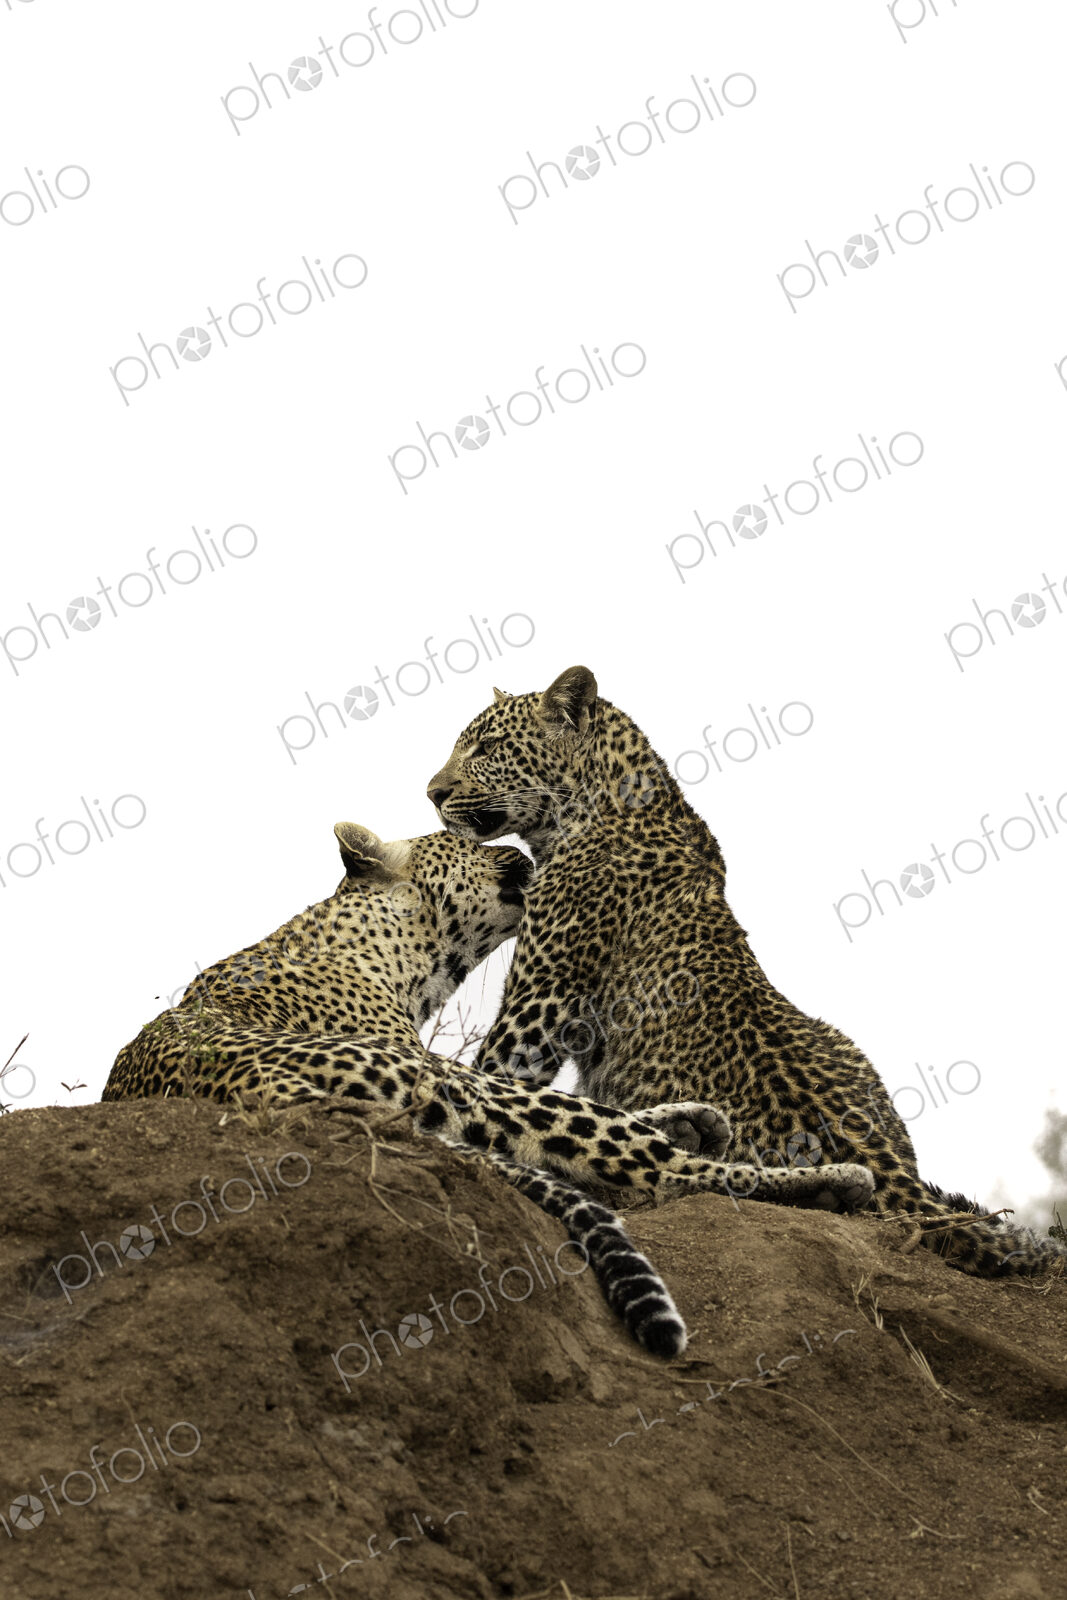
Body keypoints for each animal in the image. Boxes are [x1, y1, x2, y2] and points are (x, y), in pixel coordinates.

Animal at [102, 821, 875, 1356]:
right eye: (461, 840)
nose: (520, 849)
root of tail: (259, 1085)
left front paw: (692, 1114)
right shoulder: (452, 1070)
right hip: (446, 1085)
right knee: (662, 1173)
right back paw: (831, 1183)